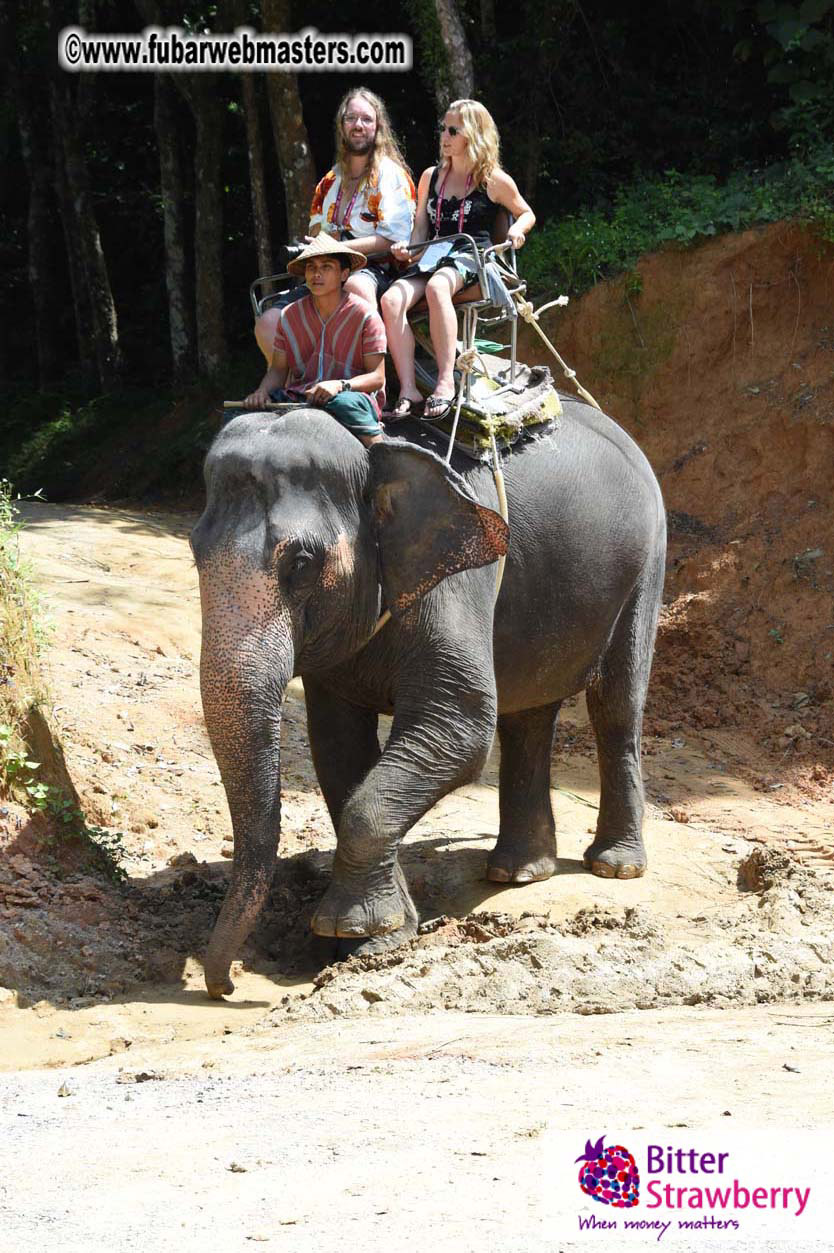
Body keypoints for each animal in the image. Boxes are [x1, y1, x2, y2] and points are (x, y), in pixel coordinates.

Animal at [191, 400, 666, 999]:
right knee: (528, 716)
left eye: (300, 562)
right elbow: (339, 750)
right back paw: (518, 872)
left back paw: (614, 867)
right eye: (194, 553)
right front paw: (376, 939)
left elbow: (459, 726)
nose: (225, 987)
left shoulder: (457, 577)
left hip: (648, 565)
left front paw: (354, 932)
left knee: (616, 707)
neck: (372, 454)